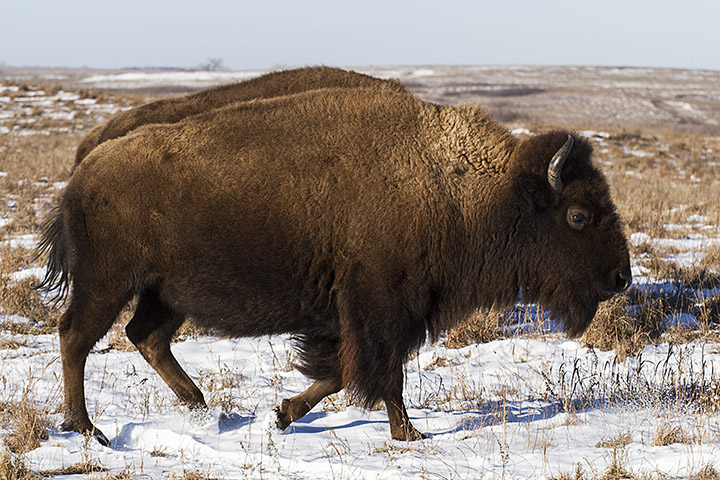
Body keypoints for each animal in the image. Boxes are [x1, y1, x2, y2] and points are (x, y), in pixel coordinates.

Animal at [38, 84, 631, 445]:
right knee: (76, 337)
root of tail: (83, 172)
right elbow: (380, 373)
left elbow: (339, 370)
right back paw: (87, 428)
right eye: (578, 215)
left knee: (146, 336)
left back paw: (200, 406)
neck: (463, 188)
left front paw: (282, 413)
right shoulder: (382, 307)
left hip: (164, 292)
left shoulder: (356, 314)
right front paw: (408, 434)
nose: (621, 278)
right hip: (108, 282)